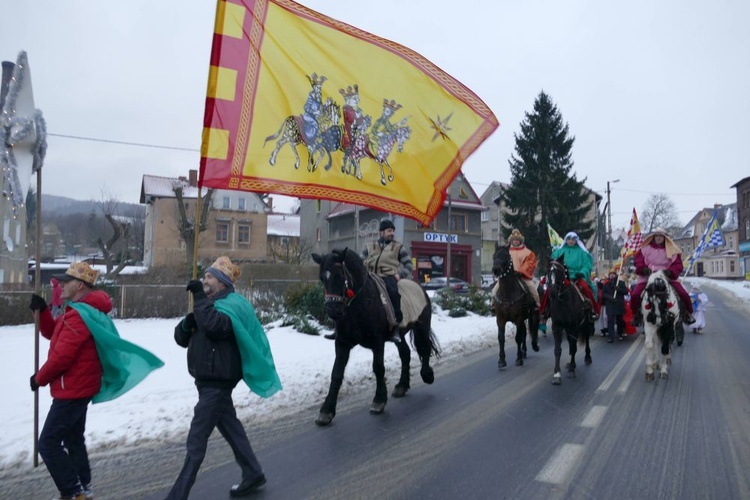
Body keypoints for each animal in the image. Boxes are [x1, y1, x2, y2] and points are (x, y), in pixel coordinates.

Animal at [312, 247, 440, 426]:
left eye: (339, 276)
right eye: (322, 278)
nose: (332, 311)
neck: (359, 305)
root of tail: (420, 287)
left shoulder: (377, 342)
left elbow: (378, 368)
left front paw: (379, 401)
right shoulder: (342, 343)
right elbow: (336, 373)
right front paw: (326, 411)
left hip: (422, 326)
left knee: (425, 348)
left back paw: (427, 375)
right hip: (400, 335)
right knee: (405, 353)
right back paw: (401, 386)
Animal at [548, 256, 592, 384]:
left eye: (559, 271)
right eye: (548, 271)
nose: (552, 291)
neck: (564, 302)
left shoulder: (574, 326)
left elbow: (573, 347)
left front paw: (572, 369)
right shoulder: (557, 326)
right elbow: (557, 350)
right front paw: (557, 374)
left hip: (585, 324)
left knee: (586, 337)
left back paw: (587, 357)